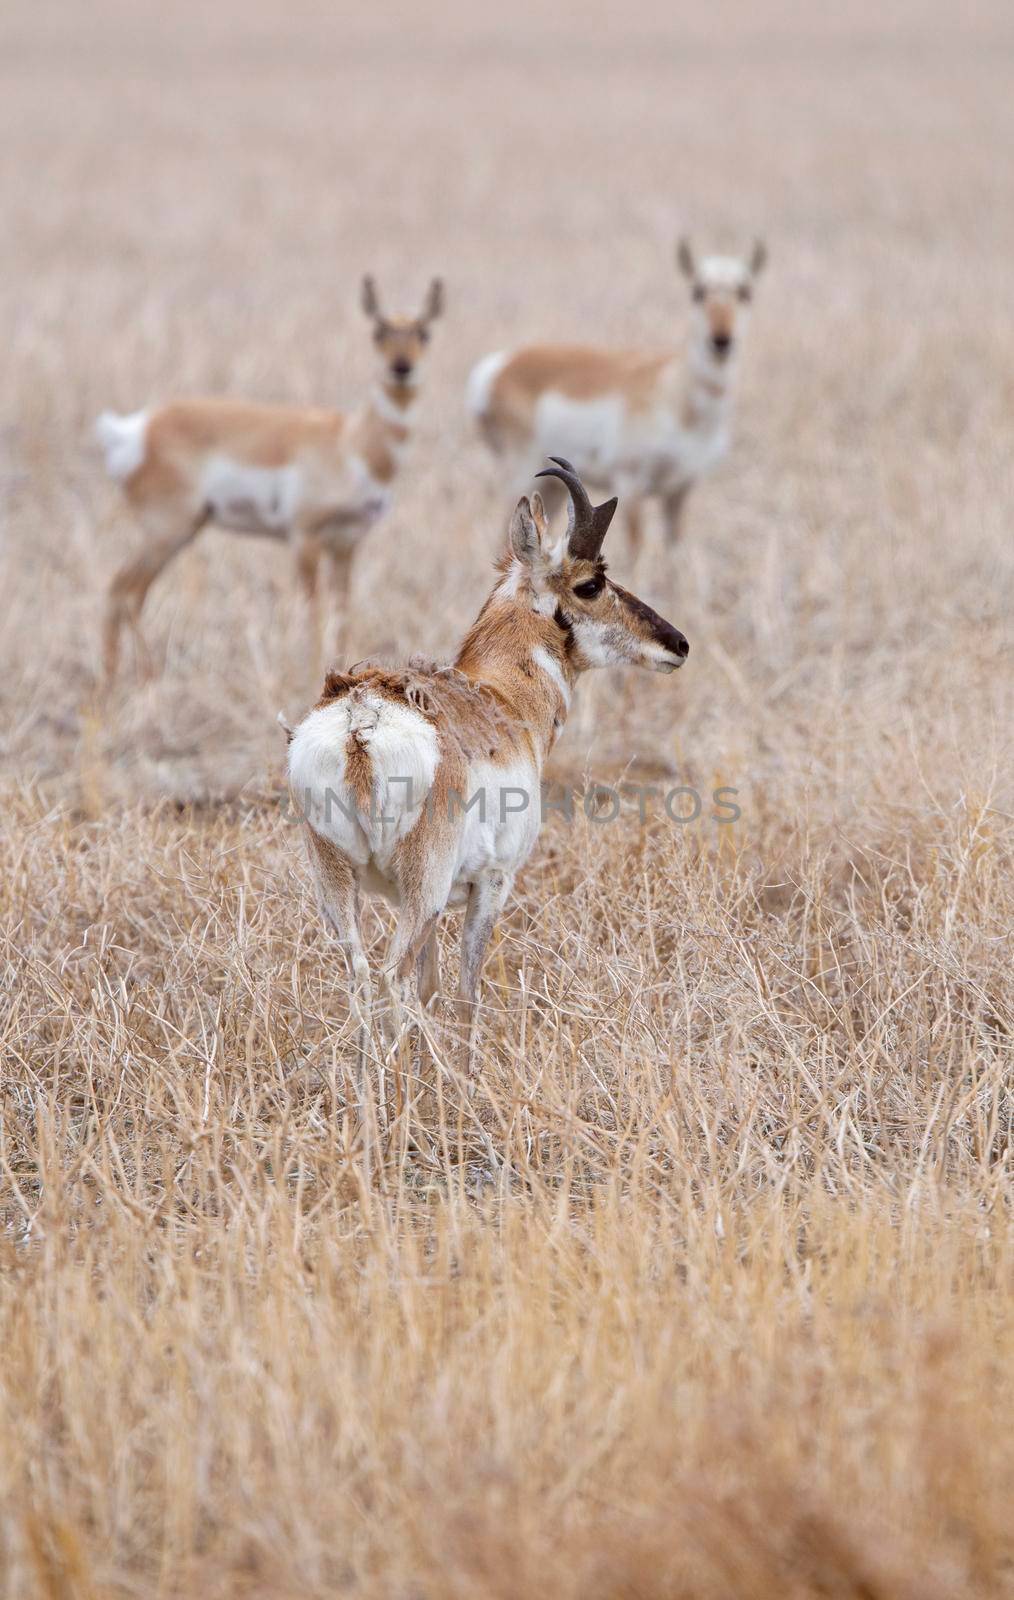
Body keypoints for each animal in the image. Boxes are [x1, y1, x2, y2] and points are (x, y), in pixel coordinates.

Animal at [96, 275, 441, 675]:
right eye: (378, 331)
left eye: (424, 332)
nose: (401, 369)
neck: (350, 442)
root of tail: (139, 427)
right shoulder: (304, 540)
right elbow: (313, 611)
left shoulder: (347, 543)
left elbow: (342, 613)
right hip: (165, 532)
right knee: (121, 591)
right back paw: (138, 681)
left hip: (181, 533)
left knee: (130, 594)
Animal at [286, 460, 687, 1075]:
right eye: (591, 583)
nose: (676, 643)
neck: (499, 695)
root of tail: (360, 718)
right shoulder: (491, 886)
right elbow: (464, 993)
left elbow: (431, 989)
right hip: (422, 890)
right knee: (389, 978)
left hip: (341, 886)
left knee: (362, 977)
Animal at [470, 240, 761, 553]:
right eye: (698, 291)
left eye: (745, 292)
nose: (721, 340)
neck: (674, 390)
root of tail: (500, 365)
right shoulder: (630, 486)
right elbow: (637, 549)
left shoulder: (679, 492)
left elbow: (674, 555)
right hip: (523, 477)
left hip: (552, 489)